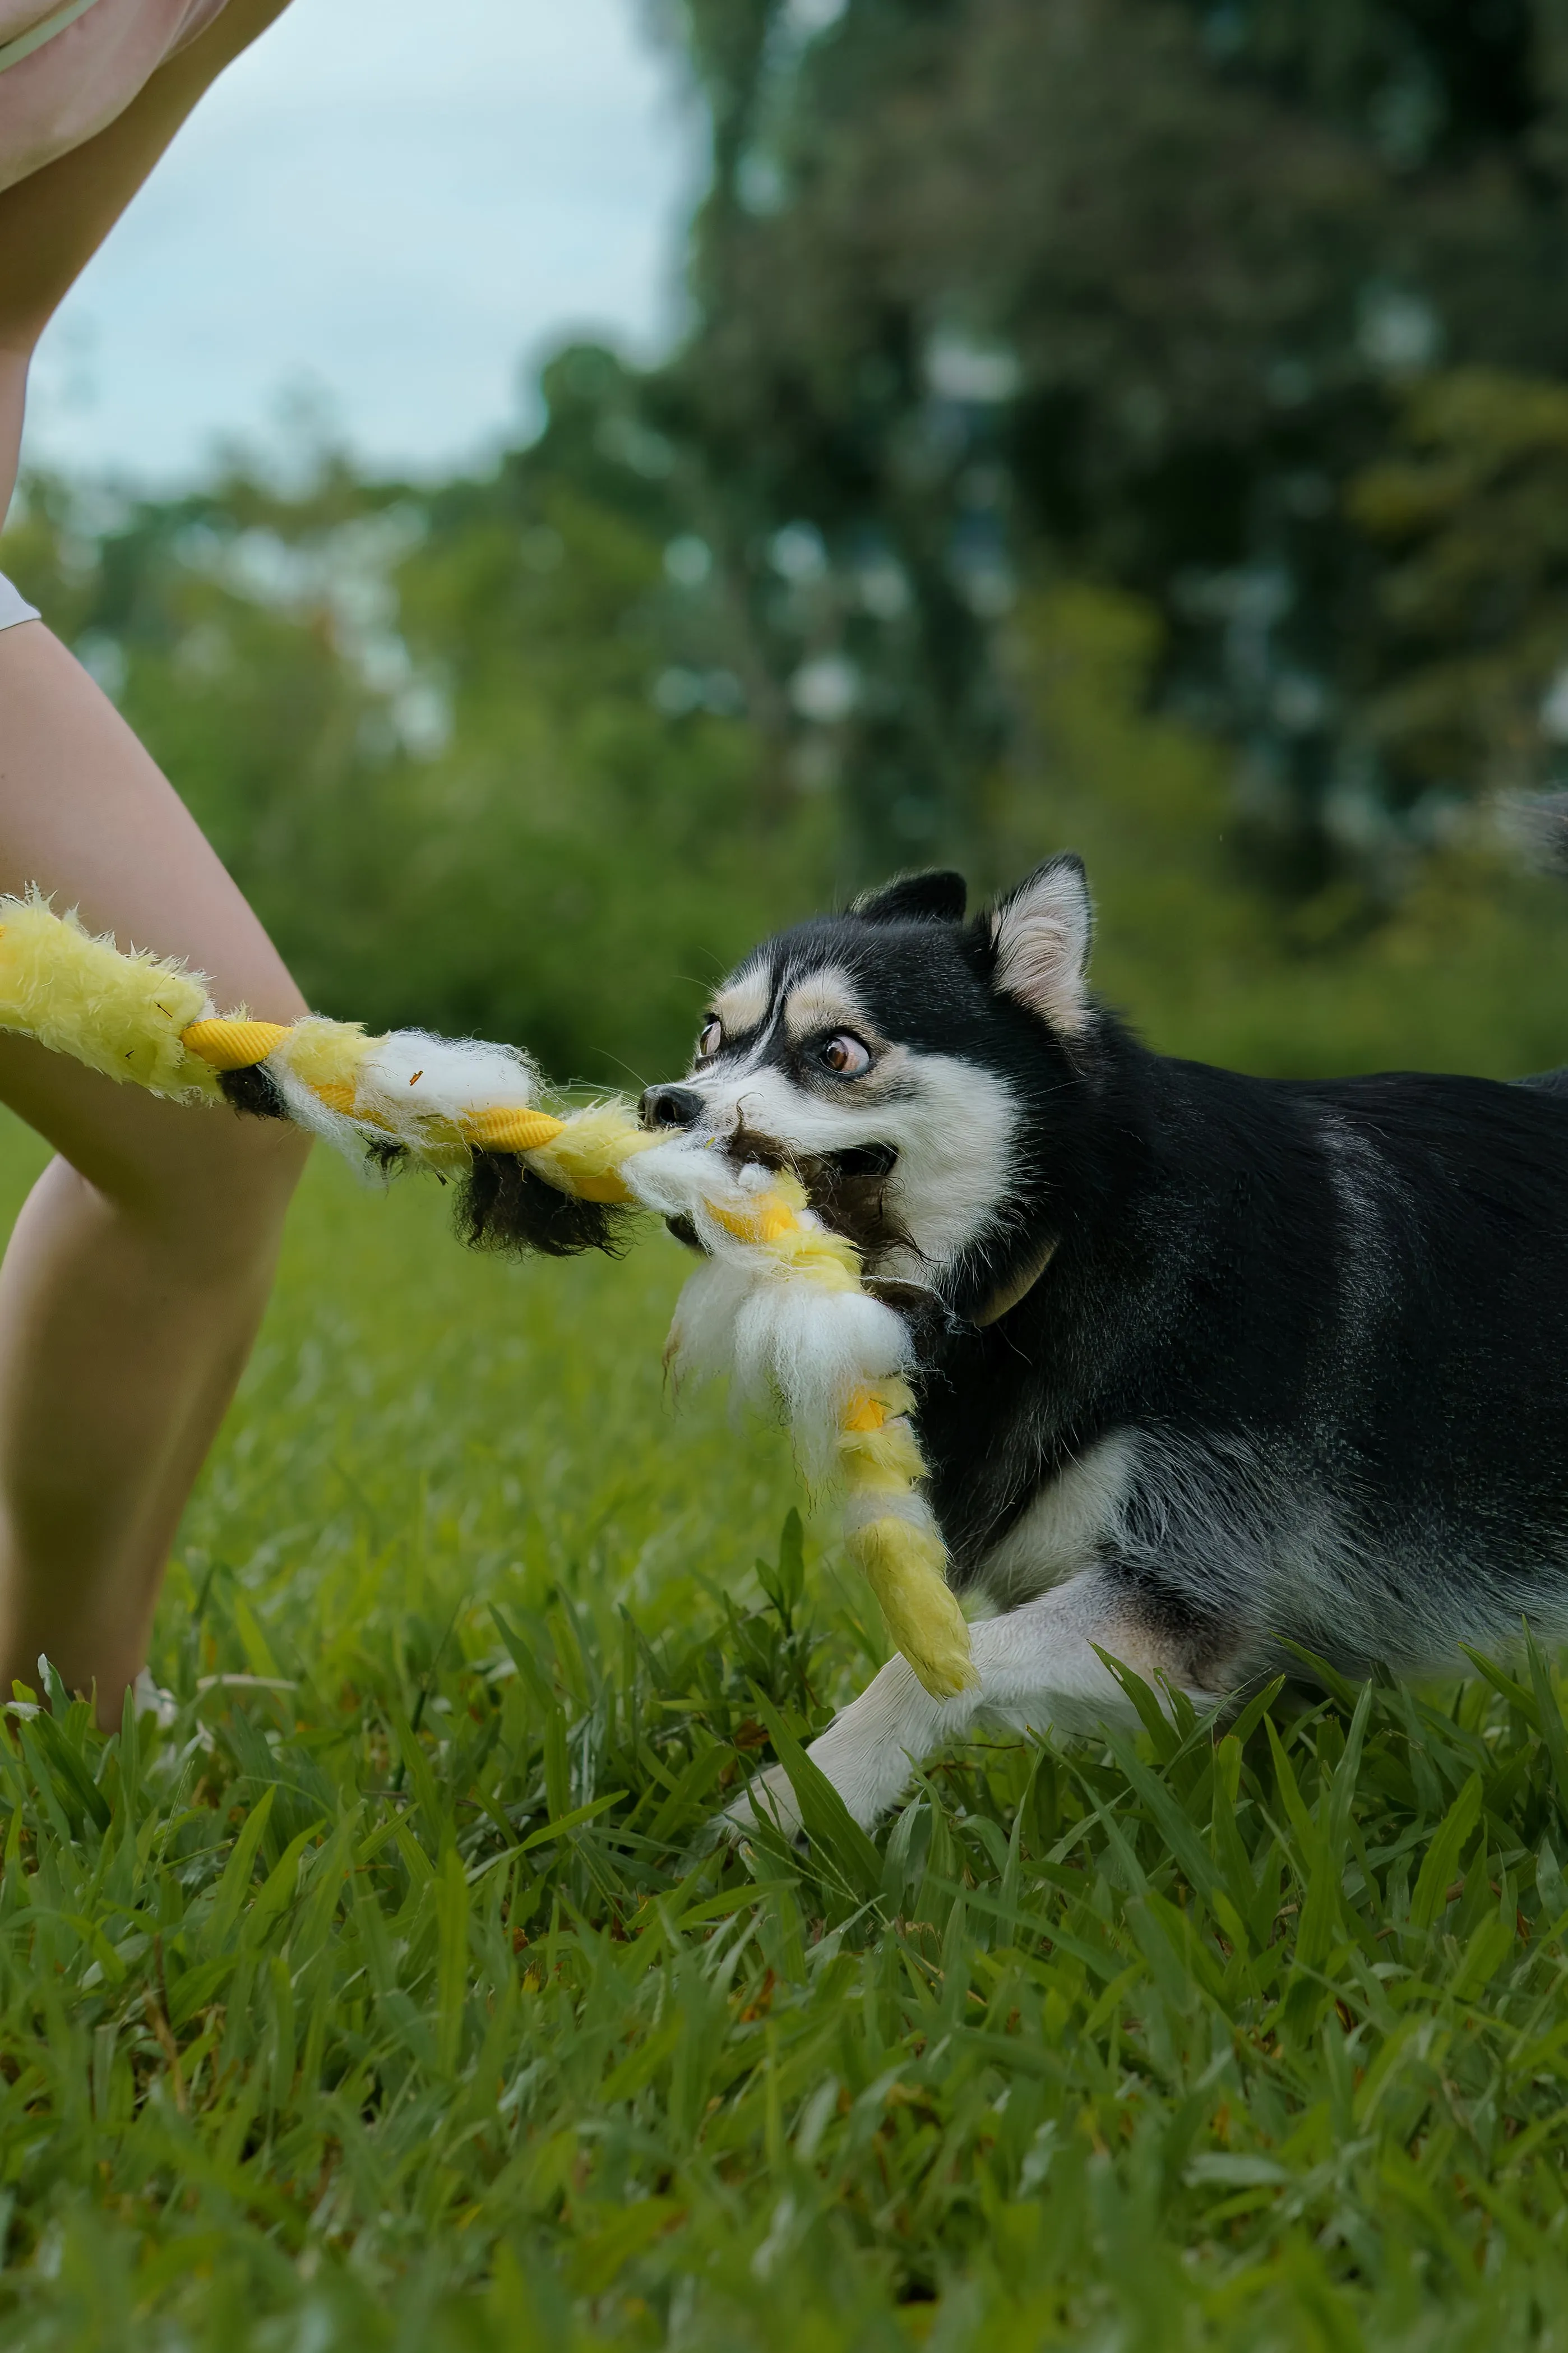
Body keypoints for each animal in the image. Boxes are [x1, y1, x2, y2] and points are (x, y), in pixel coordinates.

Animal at [635, 856, 1568, 1826]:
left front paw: (794, 1807)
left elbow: (941, 1665)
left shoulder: (1182, 1590)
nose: (663, 1104)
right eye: (710, 1036)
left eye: (838, 1053)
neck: (1059, 1240)